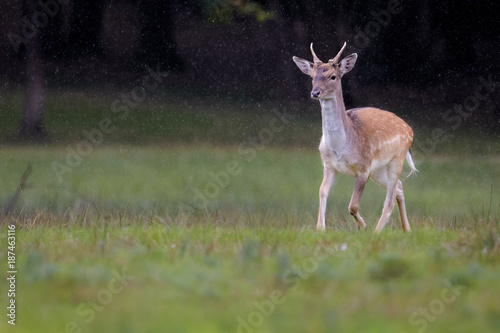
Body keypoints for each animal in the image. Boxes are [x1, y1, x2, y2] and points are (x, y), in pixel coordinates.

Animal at [292, 42, 418, 232]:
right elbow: (322, 191)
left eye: (333, 76)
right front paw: (320, 228)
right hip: (379, 169)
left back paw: (377, 232)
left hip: (397, 159)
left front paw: (363, 225)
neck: (342, 147)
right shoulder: (329, 165)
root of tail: (410, 129)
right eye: (312, 76)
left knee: (389, 199)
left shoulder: (363, 168)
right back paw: (407, 230)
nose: (315, 93)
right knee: (399, 188)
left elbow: (353, 205)